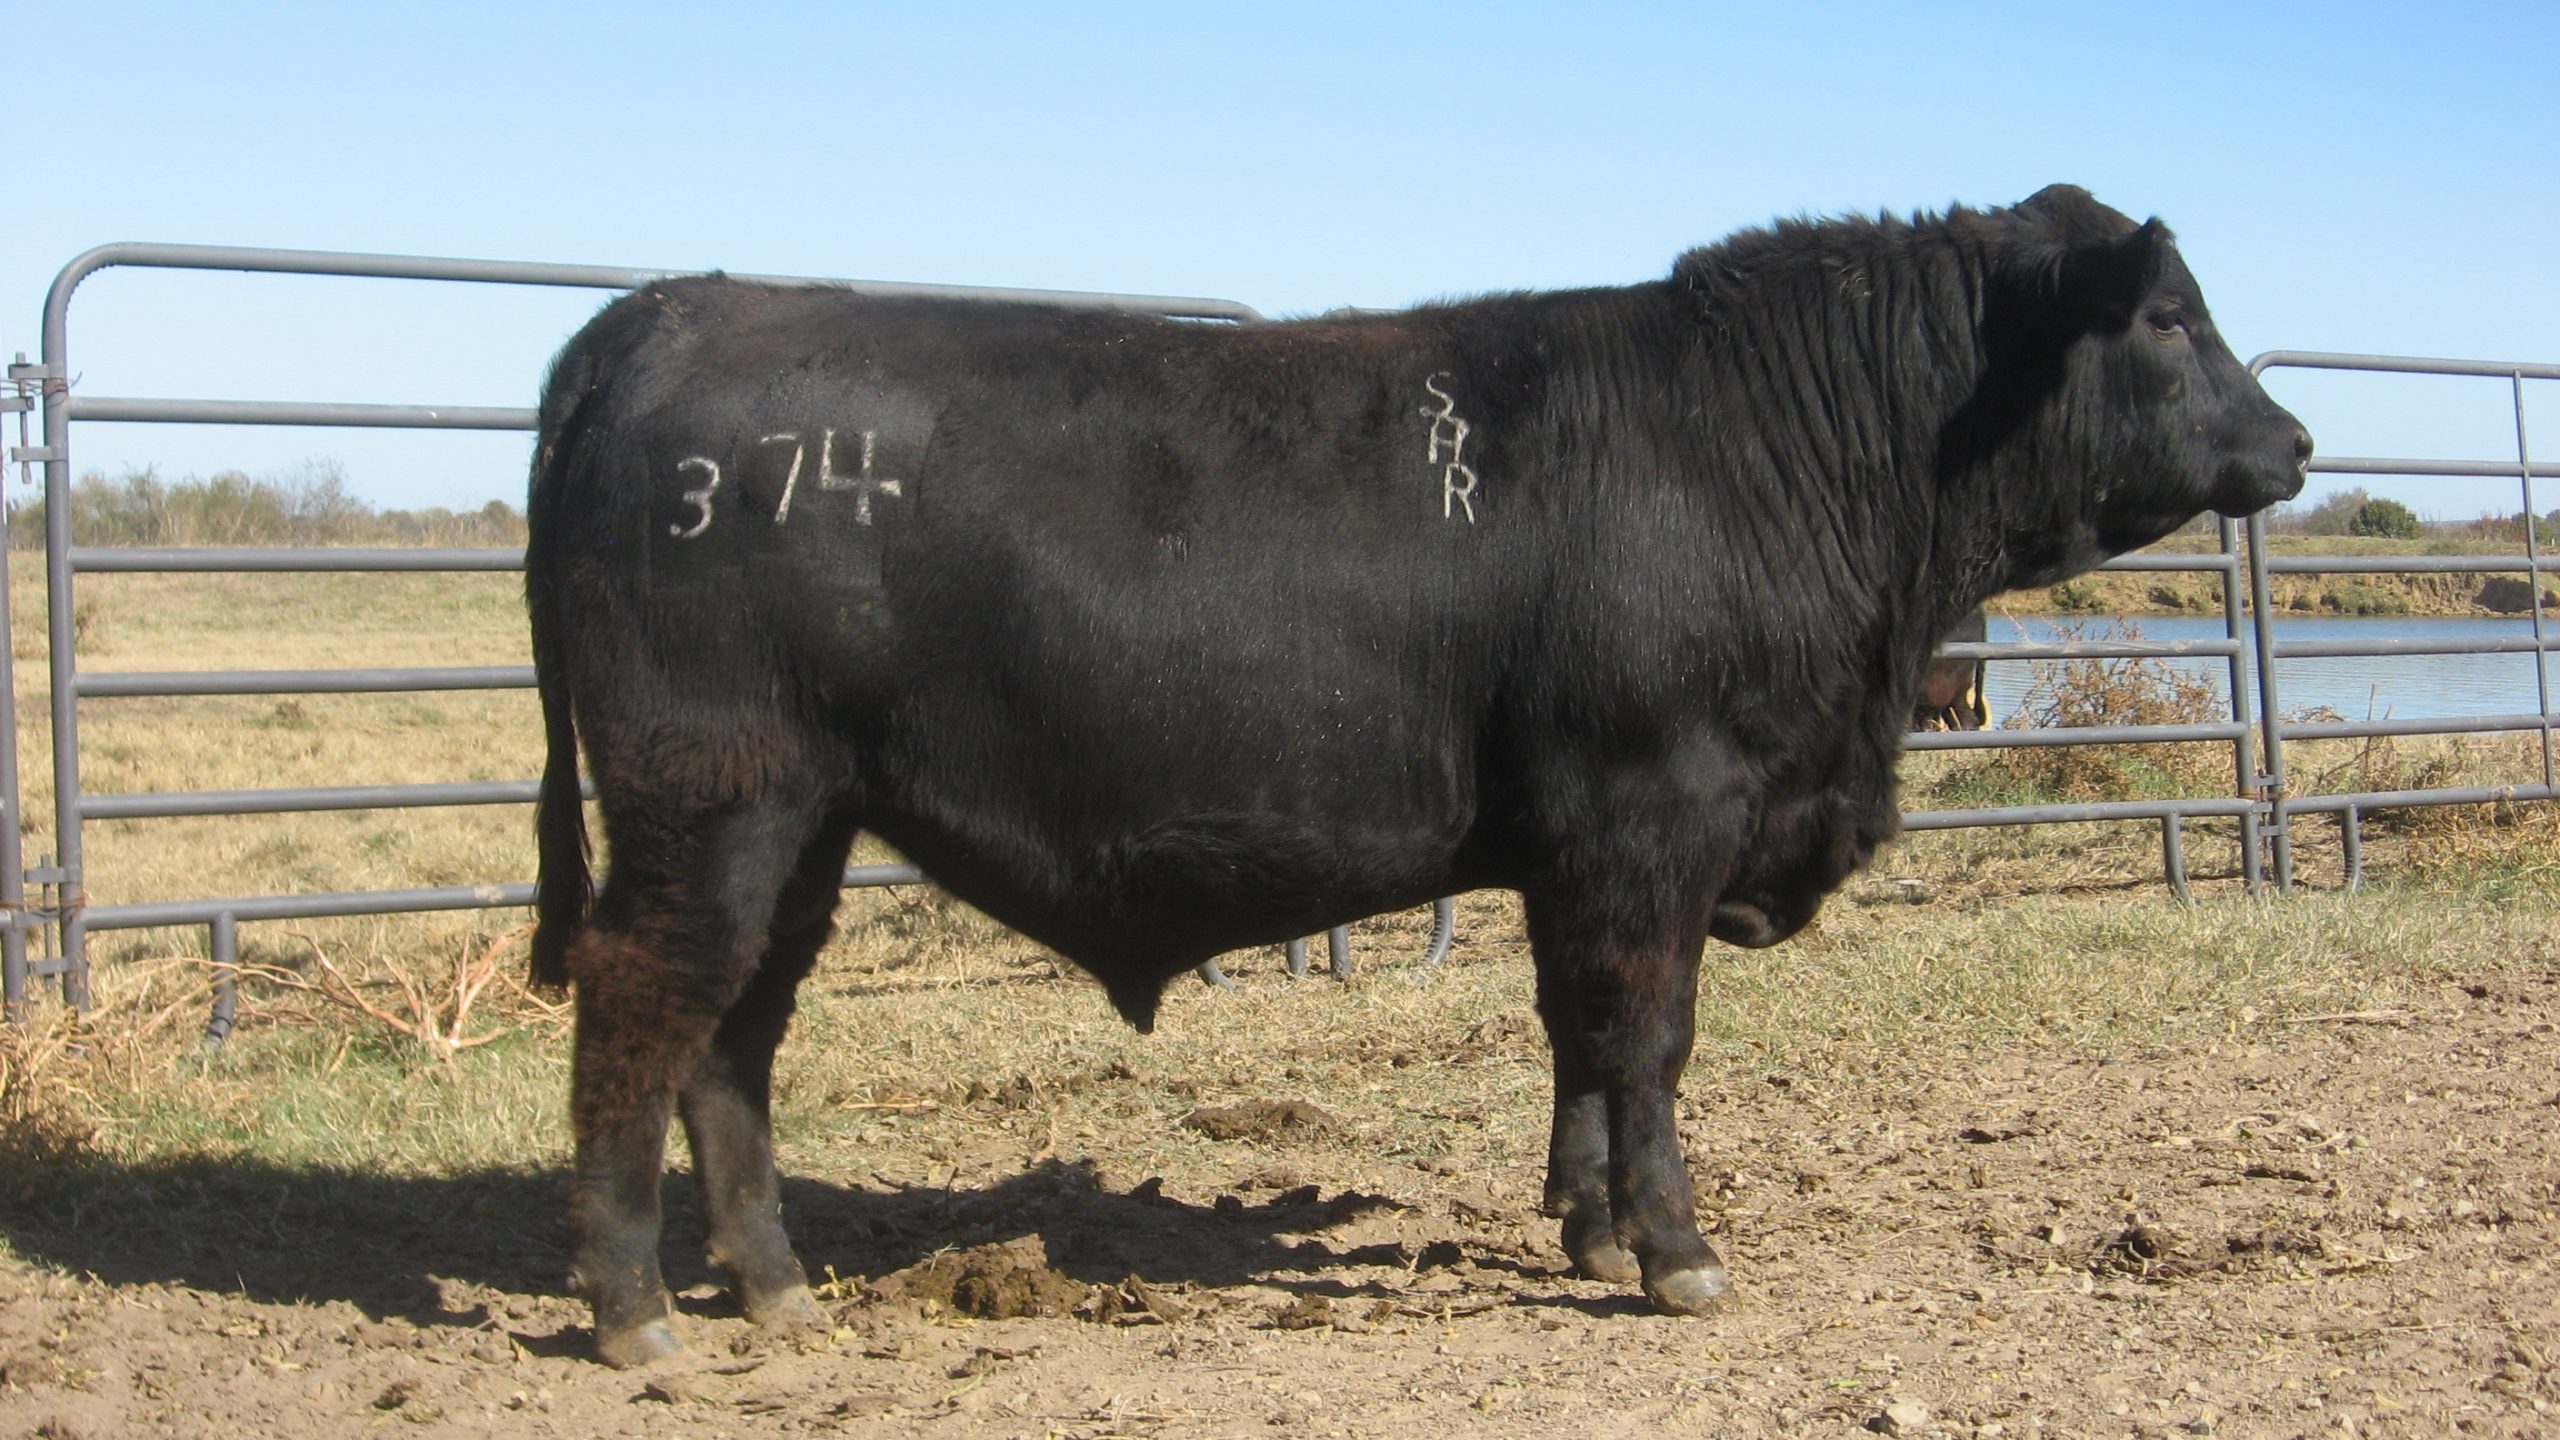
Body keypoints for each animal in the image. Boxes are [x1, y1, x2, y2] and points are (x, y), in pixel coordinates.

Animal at [524, 185, 2309, 1366]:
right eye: (2168, 316)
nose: (2291, 445)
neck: (1766, 452)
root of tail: (668, 306)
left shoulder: (1574, 844)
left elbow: (1577, 1029)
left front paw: (1588, 1223)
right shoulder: (1657, 810)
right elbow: (1648, 1035)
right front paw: (1675, 1251)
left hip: (805, 820)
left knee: (733, 1033)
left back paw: (772, 1286)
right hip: (712, 796)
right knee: (644, 1000)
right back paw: (633, 1311)